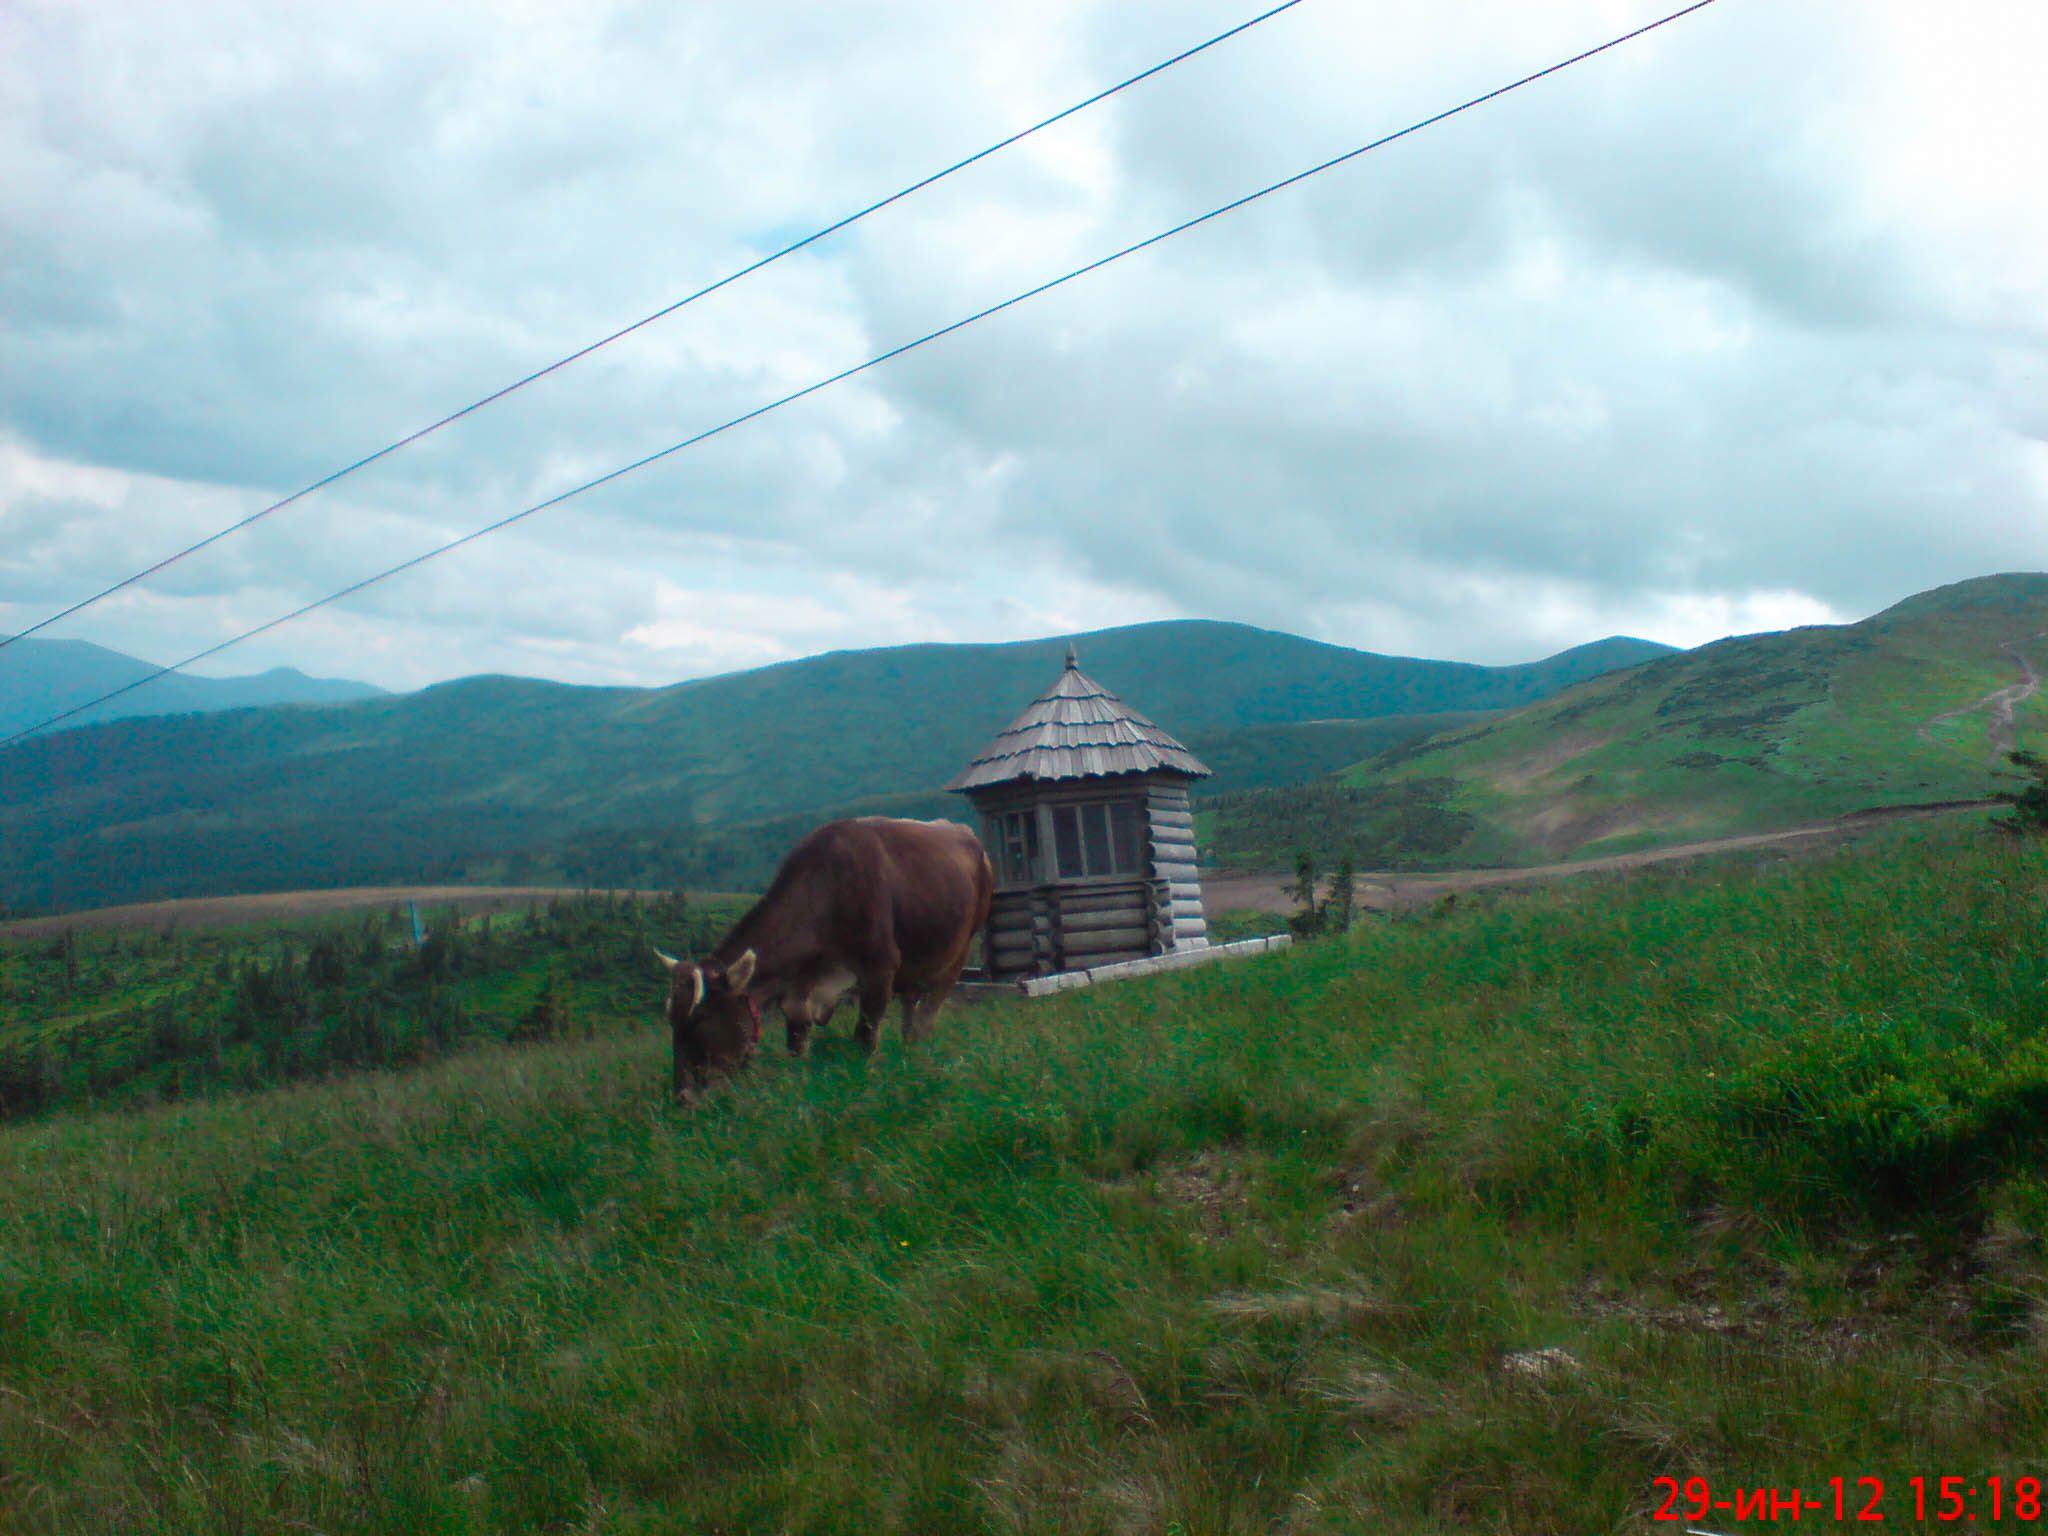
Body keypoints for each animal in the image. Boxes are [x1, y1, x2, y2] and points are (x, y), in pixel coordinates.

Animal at [655, 817, 994, 1093]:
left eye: (699, 1021)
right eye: (671, 1018)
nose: (682, 1098)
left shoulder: (880, 971)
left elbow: (864, 1038)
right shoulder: (796, 992)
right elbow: (796, 1046)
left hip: (960, 948)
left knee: (927, 1014)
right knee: (911, 1008)